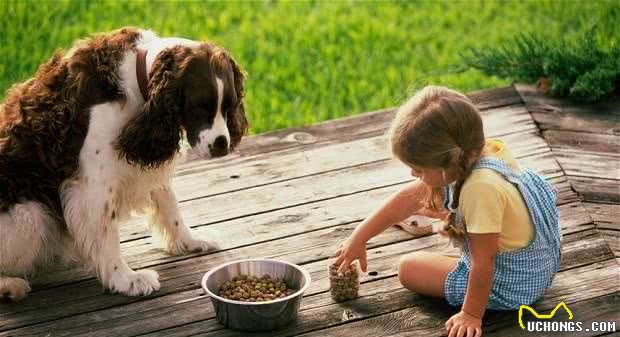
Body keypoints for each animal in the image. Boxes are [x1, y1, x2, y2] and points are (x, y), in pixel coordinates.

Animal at [0, 26, 247, 300]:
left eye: (228, 106)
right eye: (199, 107)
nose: (222, 144)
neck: (137, 80)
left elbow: (170, 205)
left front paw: (190, 240)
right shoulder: (93, 184)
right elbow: (107, 235)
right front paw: (126, 279)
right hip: (31, 215)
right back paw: (10, 285)